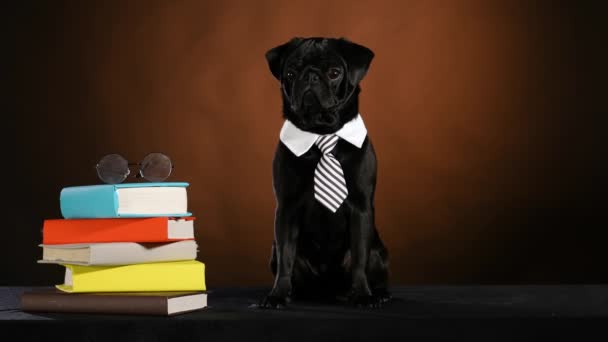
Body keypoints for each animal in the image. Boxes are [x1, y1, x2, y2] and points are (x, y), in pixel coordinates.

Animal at [260, 37, 390, 310]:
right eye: (291, 73)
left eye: (334, 73)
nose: (310, 76)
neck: (321, 132)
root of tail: (328, 291)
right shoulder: (286, 209)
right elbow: (286, 258)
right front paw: (278, 294)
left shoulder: (361, 208)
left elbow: (359, 259)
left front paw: (363, 295)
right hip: (274, 252)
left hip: (379, 251)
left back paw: (378, 293)